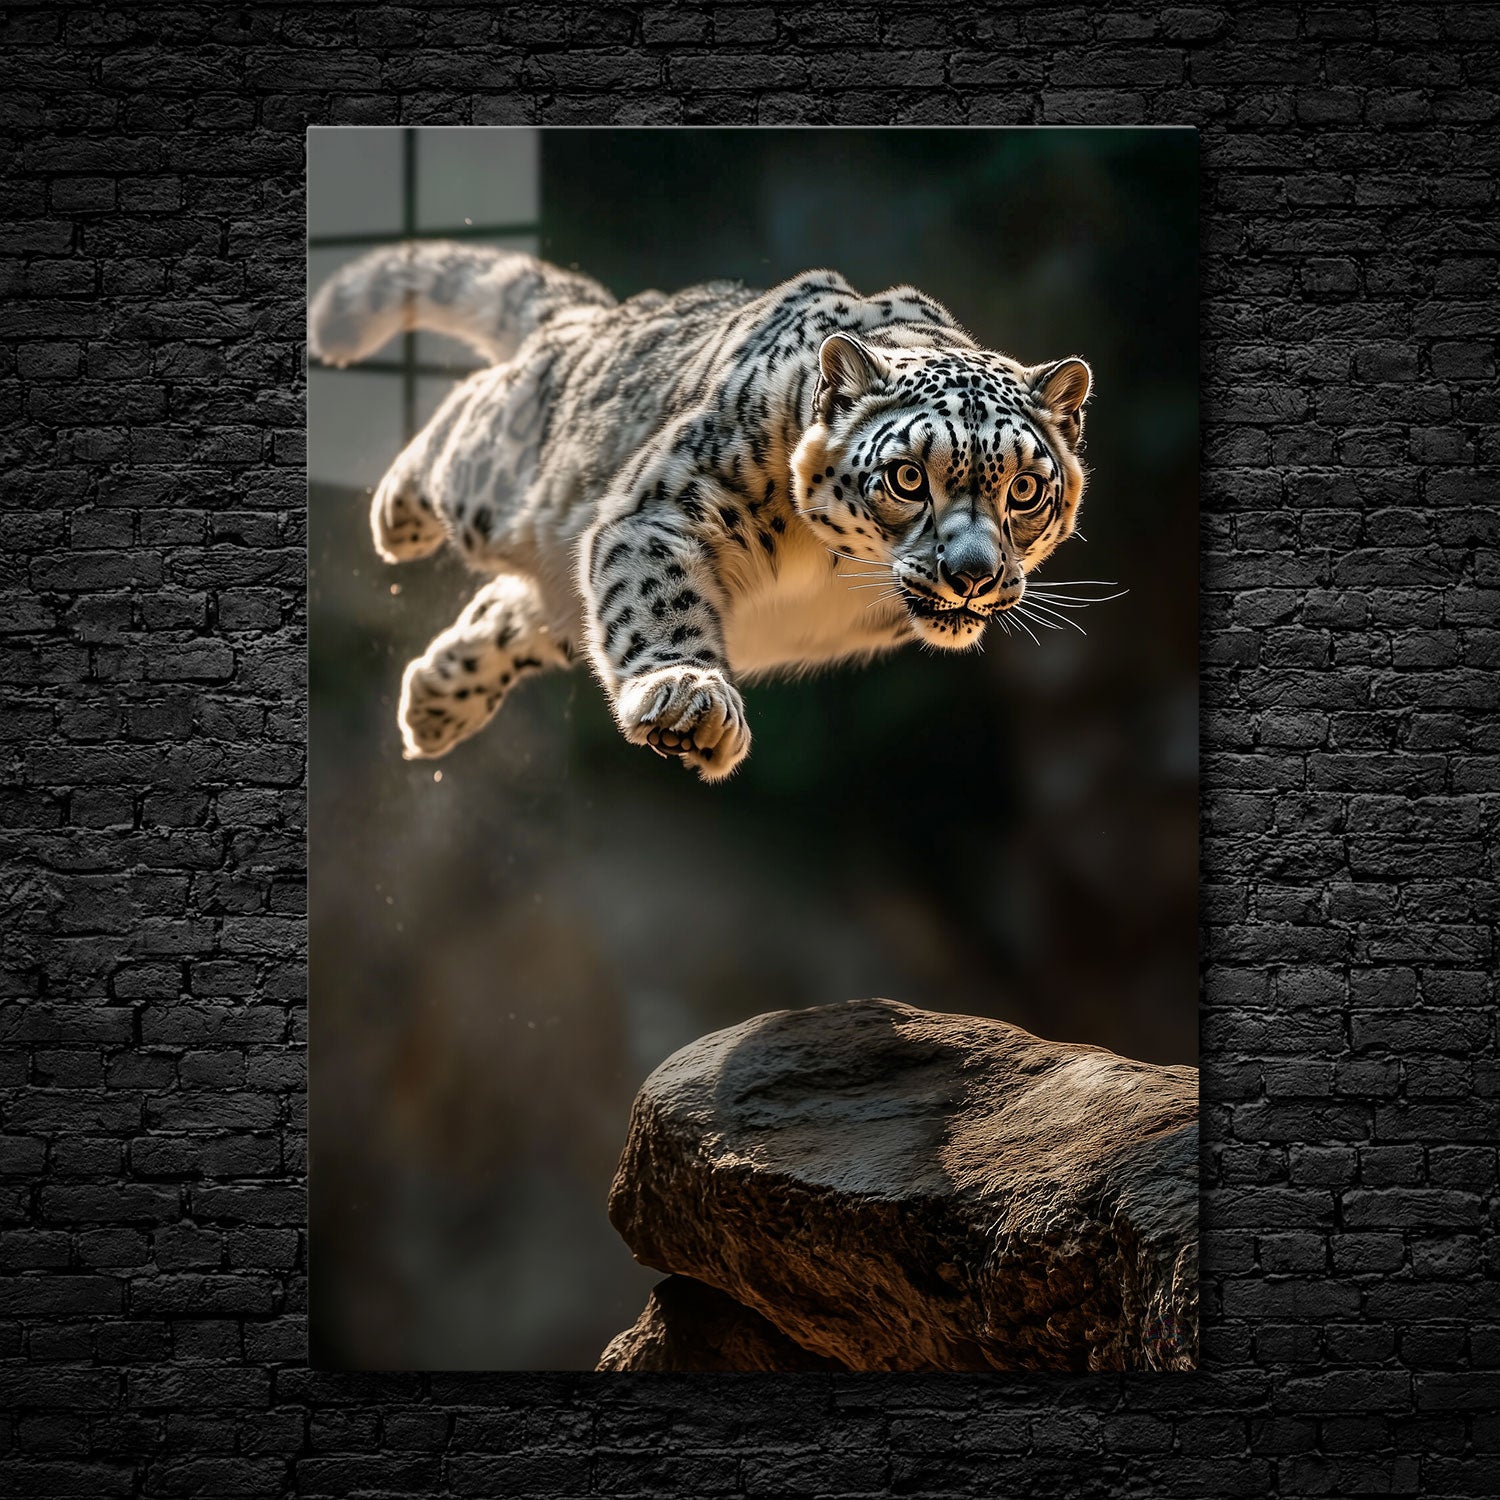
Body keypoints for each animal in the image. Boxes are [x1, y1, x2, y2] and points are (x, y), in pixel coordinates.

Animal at [308, 242, 1094, 781]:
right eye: (906, 478)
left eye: (1024, 490)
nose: (971, 573)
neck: (838, 567)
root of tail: (604, 317)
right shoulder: (670, 508)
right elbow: (660, 602)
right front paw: (691, 703)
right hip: (501, 482)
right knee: (472, 406)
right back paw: (398, 517)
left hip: (556, 584)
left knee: (519, 611)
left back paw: (433, 705)